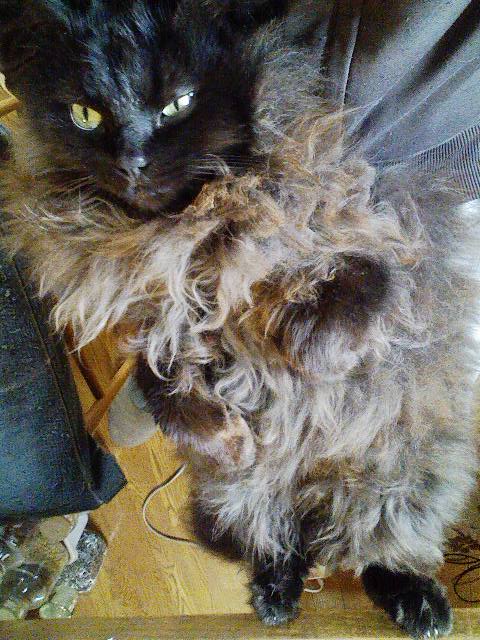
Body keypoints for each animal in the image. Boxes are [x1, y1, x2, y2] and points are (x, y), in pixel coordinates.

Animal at [1, 1, 479, 638]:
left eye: (177, 103)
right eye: (85, 114)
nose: (131, 161)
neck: (188, 236)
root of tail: (315, 498)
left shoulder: (383, 238)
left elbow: (357, 284)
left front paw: (304, 352)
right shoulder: (159, 331)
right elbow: (171, 395)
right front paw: (232, 440)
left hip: (403, 485)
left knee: (376, 550)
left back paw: (419, 603)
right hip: (243, 504)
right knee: (279, 540)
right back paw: (277, 595)